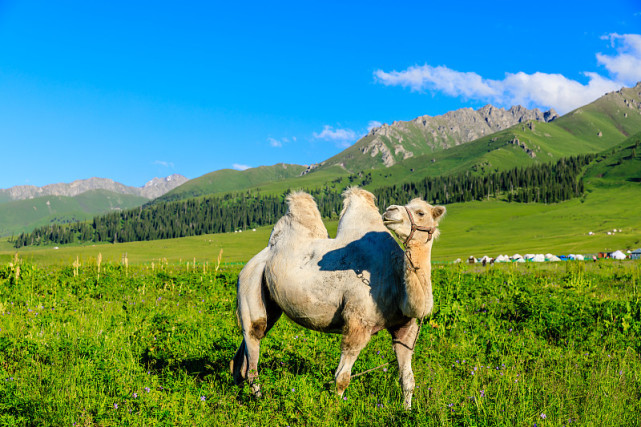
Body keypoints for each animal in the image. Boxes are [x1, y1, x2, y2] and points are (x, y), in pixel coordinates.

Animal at [230, 189, 444, 410]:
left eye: (420, 212)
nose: (390, 210)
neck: (396, 280)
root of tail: (253, 261)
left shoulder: (404, 328)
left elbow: (407, 378)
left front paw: (407, 410)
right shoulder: (357, 323)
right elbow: (342, 377)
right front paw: (336, 409)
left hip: (270, 305)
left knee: (241, 356)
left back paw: (239, 395)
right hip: (249, 283)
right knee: (254, 338)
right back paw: (258, 400)